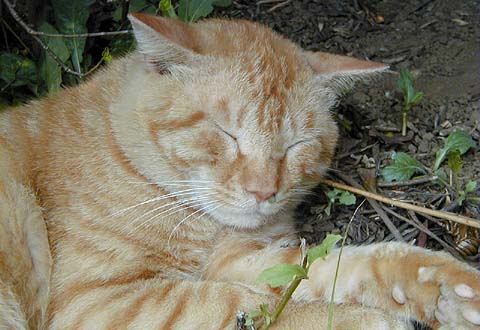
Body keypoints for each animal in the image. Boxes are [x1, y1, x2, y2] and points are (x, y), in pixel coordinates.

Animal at [0, 12, 480, 330]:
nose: (263, 192)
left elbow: (329, 268)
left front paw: (445, 290)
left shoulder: (243, 259)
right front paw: (360, 319)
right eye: (227, 134)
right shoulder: (95, 303)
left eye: (295, 145)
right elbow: (243, 306)